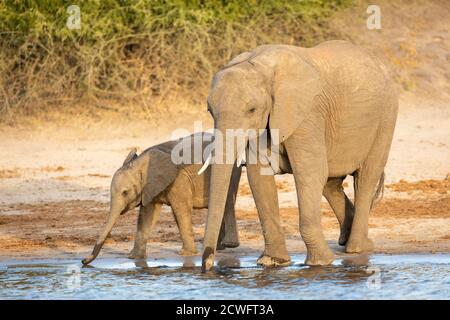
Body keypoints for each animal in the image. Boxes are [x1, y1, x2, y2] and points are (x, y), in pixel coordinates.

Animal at [82, 132, 241, 264]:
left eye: (125, 193)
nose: (83, 261)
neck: (140, 163)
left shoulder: (178, 181)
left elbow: (180, 211)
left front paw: (186, 254)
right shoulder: (149, 187)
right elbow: (147, 216)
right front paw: (134, 257)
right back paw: (219, 247)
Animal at [202, 40, 400, 270]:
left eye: (252, 110)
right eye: (210, 111)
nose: (207, 265)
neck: (260, 66)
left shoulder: (307, 114)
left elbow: (309, 172)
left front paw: (320, 263)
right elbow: (259, 177)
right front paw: (273, 262)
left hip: (386, 116)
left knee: (365, 178)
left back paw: (358, 248)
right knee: (331, 183)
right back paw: (347, 239)